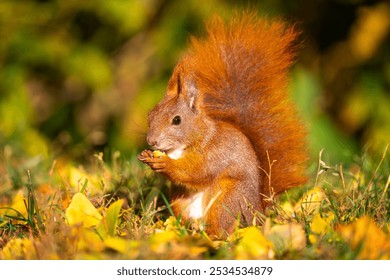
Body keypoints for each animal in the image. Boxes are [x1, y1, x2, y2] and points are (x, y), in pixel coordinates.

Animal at [139, 12, 306, 237]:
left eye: (177, 120)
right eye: (151, 114)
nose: (152, 141)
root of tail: (257, 214)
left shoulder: (215, 152)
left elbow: (196, 171)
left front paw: (165, 164)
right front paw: (147, 155)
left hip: (227, 199)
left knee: (222, 230)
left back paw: (211, 236)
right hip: (180, 201)